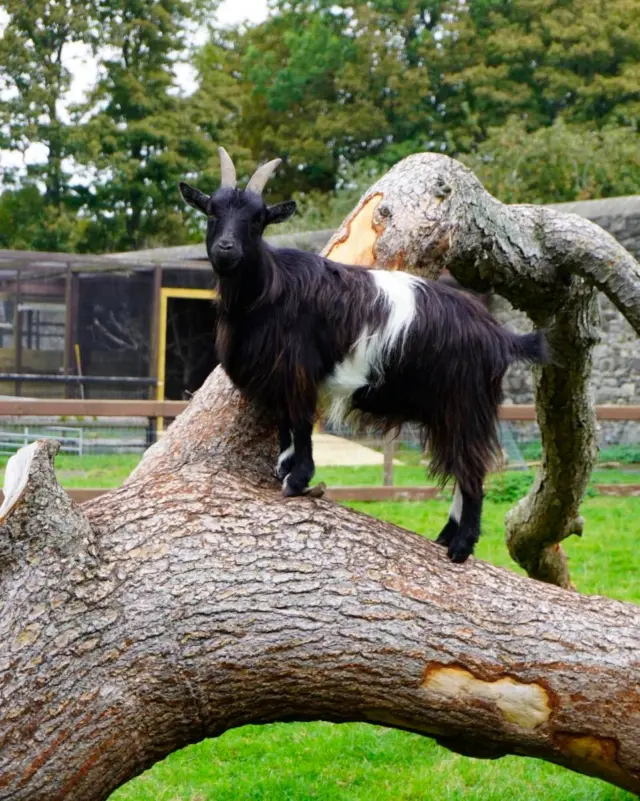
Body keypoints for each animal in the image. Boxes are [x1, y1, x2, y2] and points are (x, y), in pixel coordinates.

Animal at [179, 148, 548, 563]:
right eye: (212, 211)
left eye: (258, 219)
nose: (226, 249)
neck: (268, 290)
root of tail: (499, 335)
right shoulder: (280, 377)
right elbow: (285, 424)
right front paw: (284, 468)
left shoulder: (299, 370)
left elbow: (301, 423)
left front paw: (297, 480)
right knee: (460, 467)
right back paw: (446, 536)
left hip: (465, 404)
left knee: (473, 471)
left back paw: (461, 547)